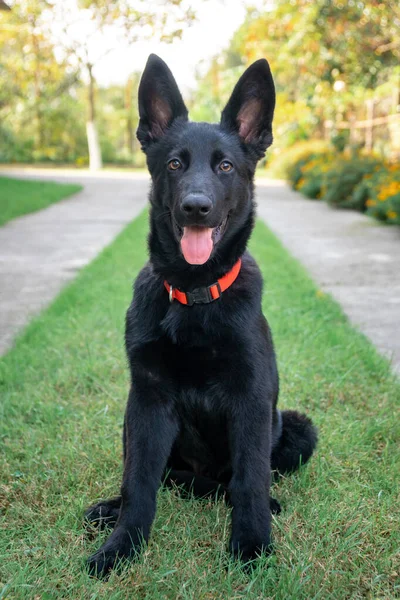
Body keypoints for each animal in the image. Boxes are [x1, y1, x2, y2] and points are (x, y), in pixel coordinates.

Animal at [86, 55, 318, 576]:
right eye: (174, 164)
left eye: (226, 166)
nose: (196, 207)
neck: (194, 296)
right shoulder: (148, 399)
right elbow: (139, 482)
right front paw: (121, 545)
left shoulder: (251, 400)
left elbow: (251, 480)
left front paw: (251, 545)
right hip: (131, 419)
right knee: (164, 476)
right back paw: (112, 507)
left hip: (294, 427)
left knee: (244, 478)